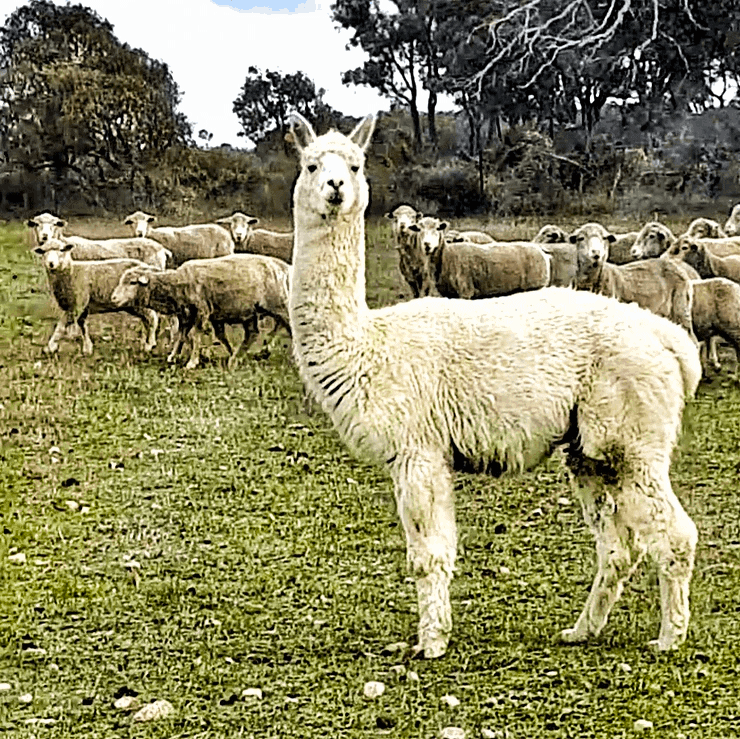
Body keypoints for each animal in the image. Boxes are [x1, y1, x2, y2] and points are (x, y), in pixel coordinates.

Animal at [111, 254, 290, 370]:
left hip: (278, 304)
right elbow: (181, 336)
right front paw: (173, 356)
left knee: (287, 325)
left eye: (132, 282)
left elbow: (195, 336)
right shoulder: (186, 314)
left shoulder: (201, 311)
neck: (178, 283)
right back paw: (236, 358)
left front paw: (192, 361)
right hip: (250, 311)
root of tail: (281, 267)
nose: (113, 298)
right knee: (252, 334)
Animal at [288, 114, 700, 660]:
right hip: (590, 451)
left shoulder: (418, 450)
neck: (370, 345)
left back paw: (670, 637)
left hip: (632, 438)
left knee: (675, 535)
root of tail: (666, 337)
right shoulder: (429, 453)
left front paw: (430, 644)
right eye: (311, 165)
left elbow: (427, 555)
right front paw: (435, 635)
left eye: (354, 165)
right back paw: (582, 630)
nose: (335, 187)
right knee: (618, 546)